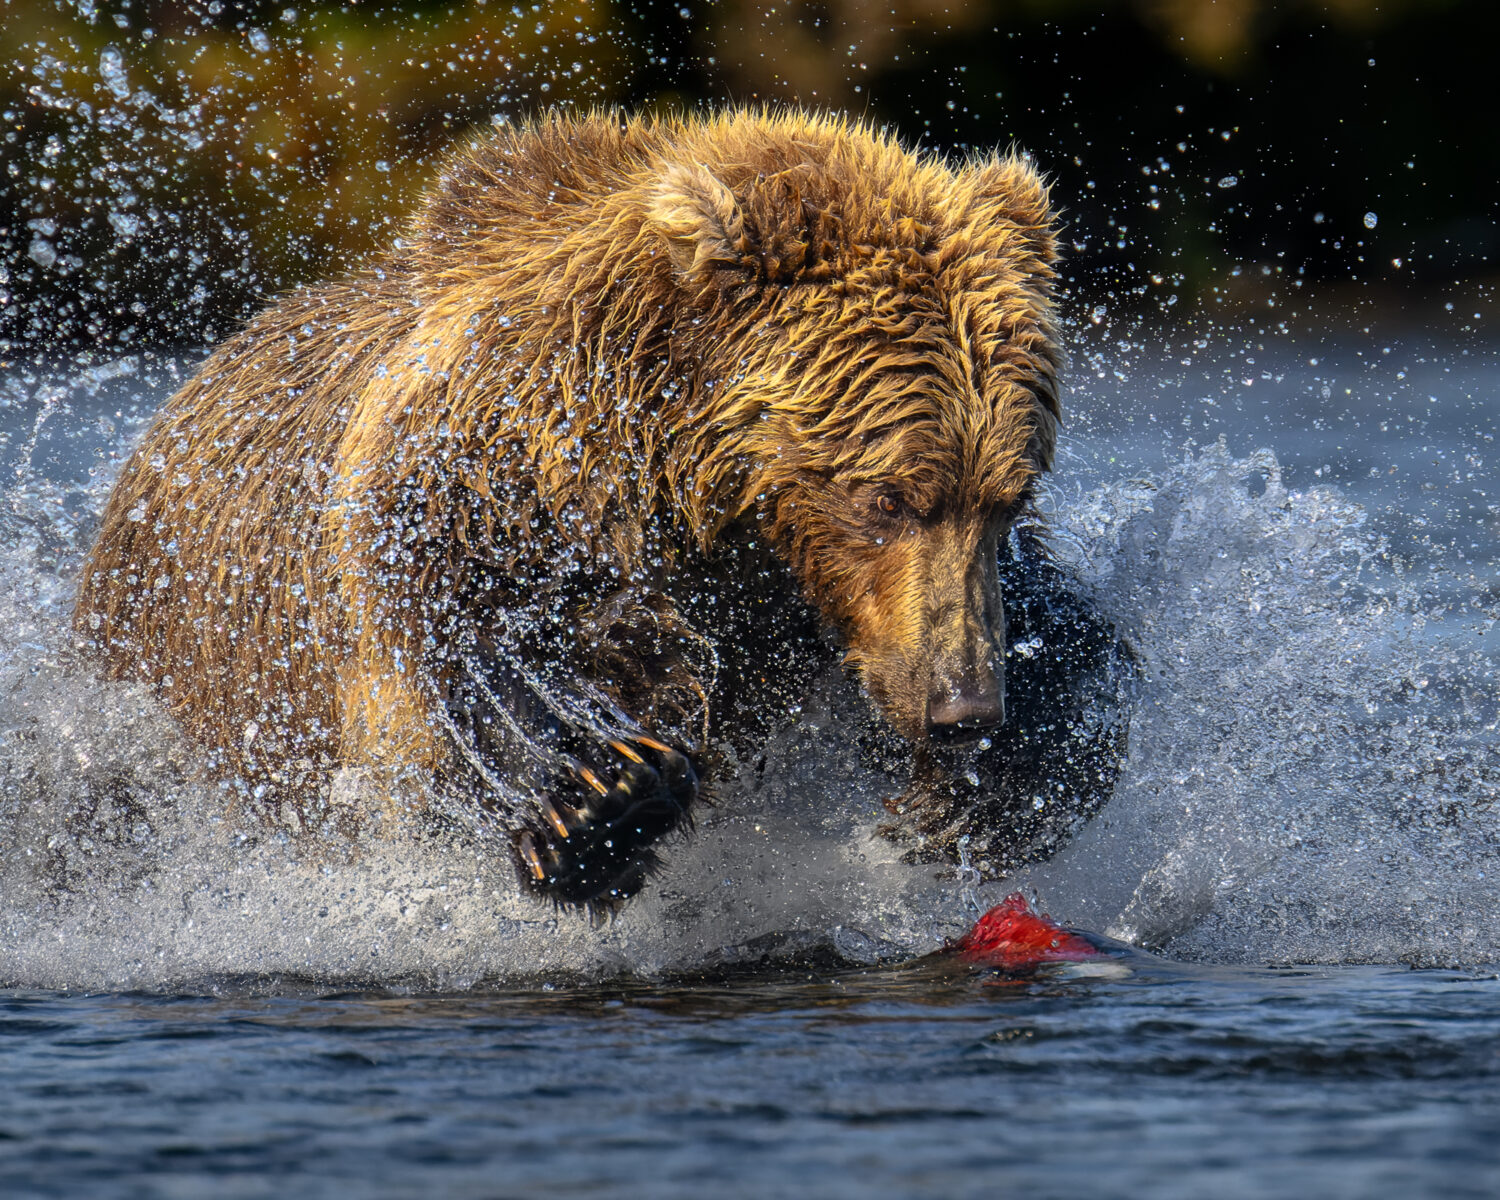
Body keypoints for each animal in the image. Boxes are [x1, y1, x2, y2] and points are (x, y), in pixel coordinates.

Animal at [74, 108, 1129, 908]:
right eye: (884, 496)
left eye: (1007, 496)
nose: (962, 706)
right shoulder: (473, 490)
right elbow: (469, 656)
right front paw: (594, 791)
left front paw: (997, 784)